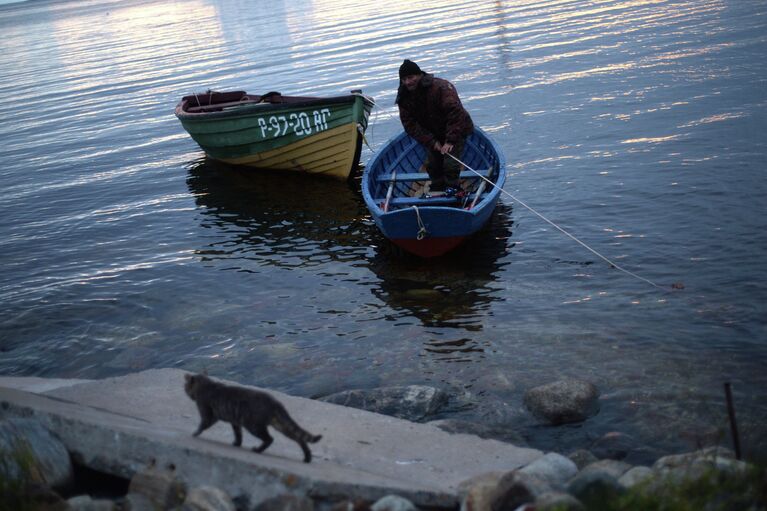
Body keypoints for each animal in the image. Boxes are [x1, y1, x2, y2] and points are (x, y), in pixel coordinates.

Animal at [183, 372, 320, 464]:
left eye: (185, 387)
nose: (188, 394)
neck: (206, 384)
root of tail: (275, 402)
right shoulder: (235, 421)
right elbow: (238, 433)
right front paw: (237, 442)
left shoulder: (207, 410)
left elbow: (205, 422)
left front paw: (195, 432)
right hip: (279, 423)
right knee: (298, 437)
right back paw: (307, 455)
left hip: (253, 424)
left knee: (269, 438)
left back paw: (259, 449)